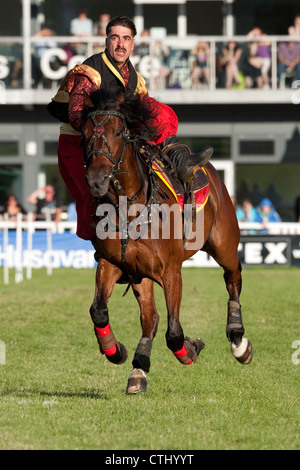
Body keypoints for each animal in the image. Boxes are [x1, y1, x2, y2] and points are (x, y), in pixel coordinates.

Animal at [81, 90, 252, 394]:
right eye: (86, 133)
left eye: (118, 132)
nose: (96, 180)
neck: (131, 209)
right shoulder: (113, 263)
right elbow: (99, 311)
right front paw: (116, 350)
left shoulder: (171, 271)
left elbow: (174, 334)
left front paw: (192, 348)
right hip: (140, 275)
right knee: (150, 318)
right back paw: (138, 369)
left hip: (224, 244)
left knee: (233, 278)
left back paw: (238, 340)